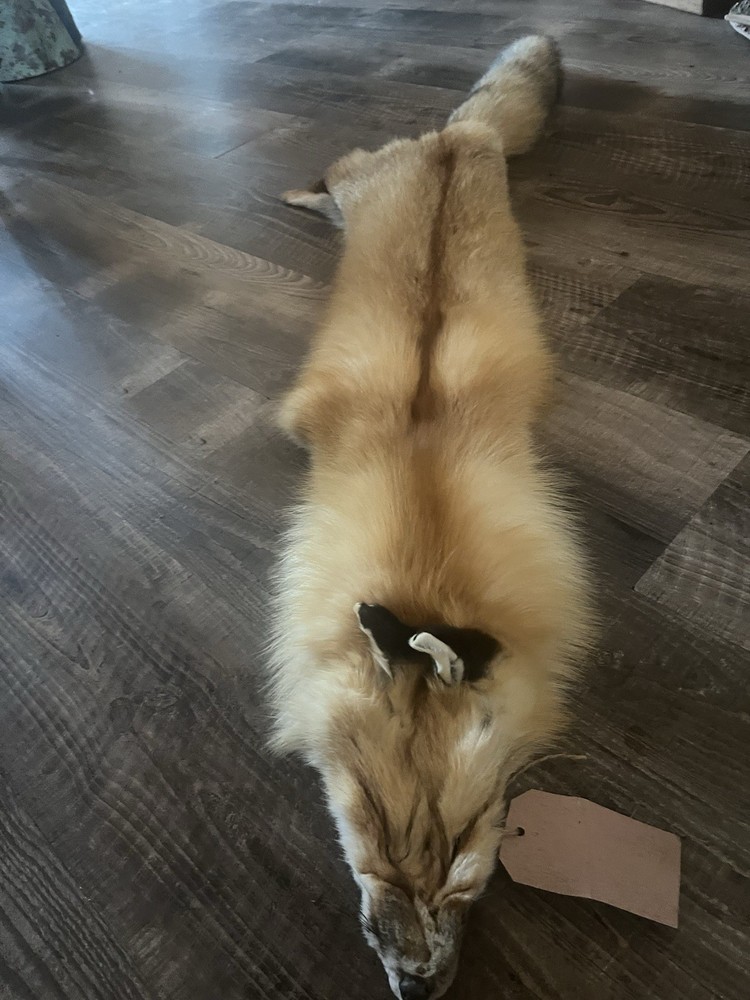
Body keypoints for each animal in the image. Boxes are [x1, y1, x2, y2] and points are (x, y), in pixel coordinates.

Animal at [268, 36, 593, 1000]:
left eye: (460, 856)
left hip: (434, 163)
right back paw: (303, 194)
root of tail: (455, 142)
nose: (416, 986)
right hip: (372, 176)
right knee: (341, 171)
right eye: (372, 830)